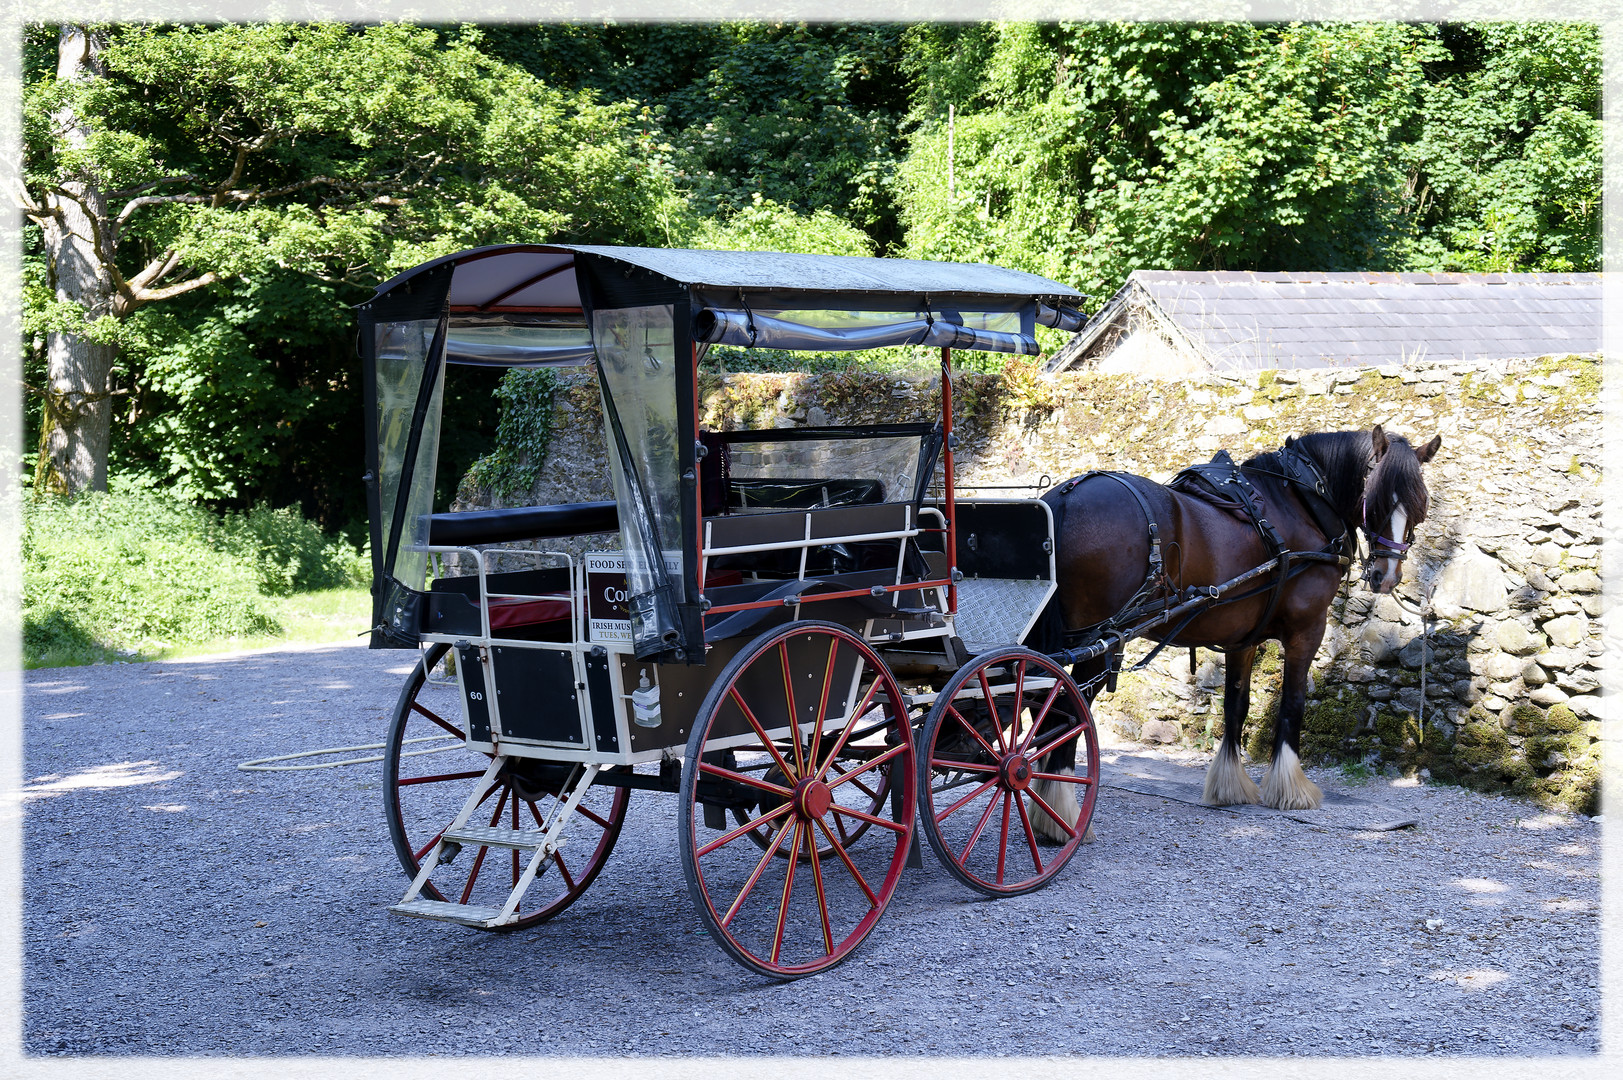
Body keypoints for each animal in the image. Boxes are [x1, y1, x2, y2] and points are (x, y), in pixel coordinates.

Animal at [1025, 425, 1447, 821]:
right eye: (1376, 500)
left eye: (1421, 505)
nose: (1386, 575)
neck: (1302, 501)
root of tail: (1067, 496)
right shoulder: (1307, 630)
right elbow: (1292, 704)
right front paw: (1291, 787)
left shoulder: (1243, 638)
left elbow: (1236, 704)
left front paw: (1229, 785)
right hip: (1098, 641)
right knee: (1065, 710)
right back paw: (1060, 809)